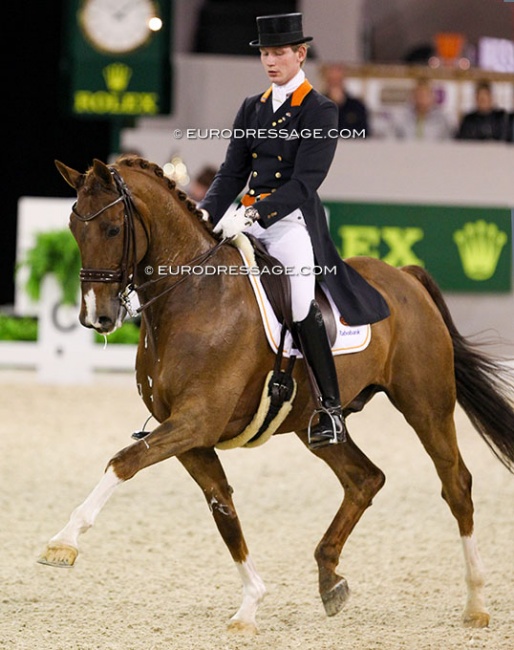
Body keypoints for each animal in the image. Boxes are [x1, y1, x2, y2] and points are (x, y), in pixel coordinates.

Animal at [39, 154, 512, 632]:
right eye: (74, 227)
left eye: (113, 228)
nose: (96, 317)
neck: (194, 295)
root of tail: (405, 276)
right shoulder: (190, 436)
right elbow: (223, 508)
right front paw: (251, 603)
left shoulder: (196, 421)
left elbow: (123, 462)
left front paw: (63, 541)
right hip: (311, 423)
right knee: (365, 479)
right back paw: (330, 579)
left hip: (426, 405)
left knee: (456, 484)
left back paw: (476, 602)